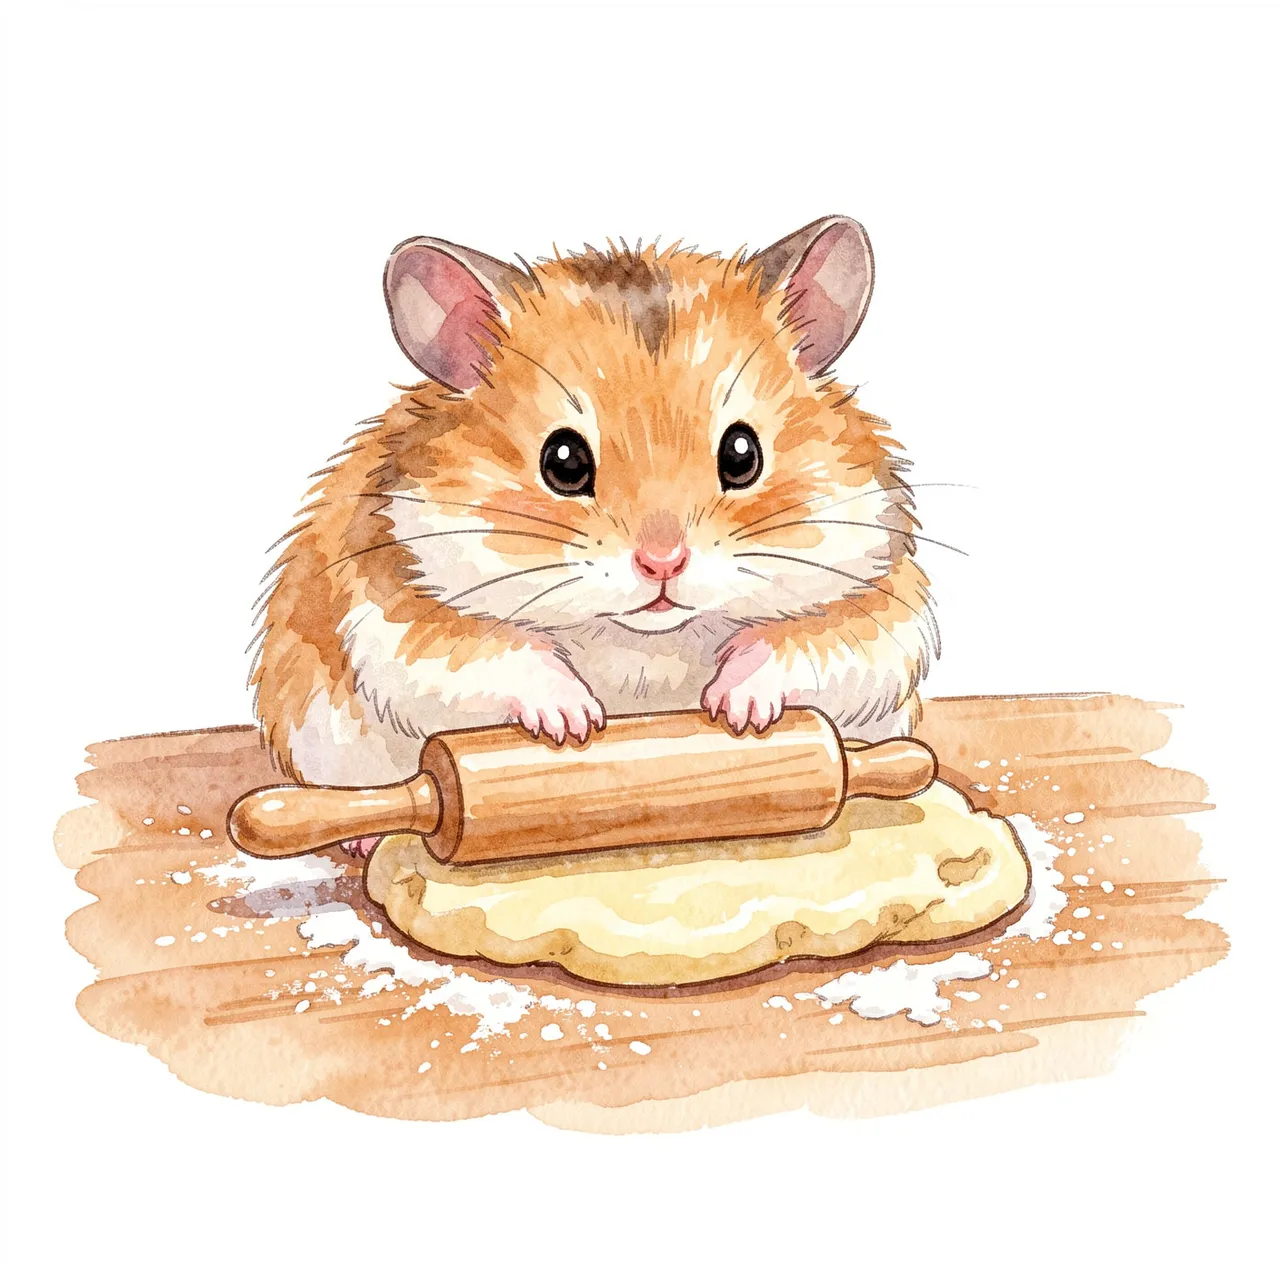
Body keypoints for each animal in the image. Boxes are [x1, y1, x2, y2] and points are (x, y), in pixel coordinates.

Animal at [252, 216, 940, 792]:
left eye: (742, 454)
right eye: (563, 462)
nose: (663, 563)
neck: (643, 644)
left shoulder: (885, 602)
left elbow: (810, 642)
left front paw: (734, 709)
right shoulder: (392, 608)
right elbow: (488, 653)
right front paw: (577, 721)